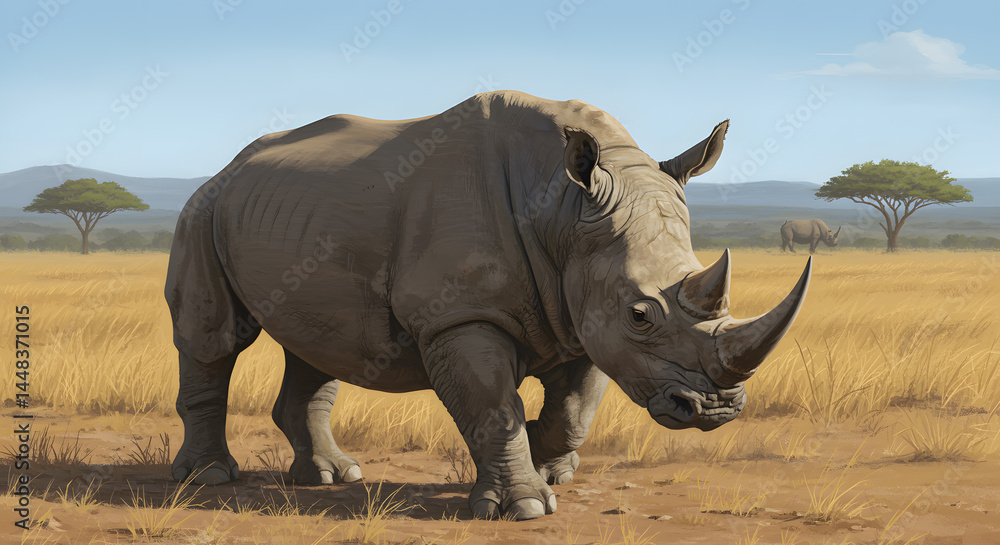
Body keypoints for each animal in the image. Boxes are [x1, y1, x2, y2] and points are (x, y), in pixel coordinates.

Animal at [165, 91, 811, 521]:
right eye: (641, 314)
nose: (716, 407)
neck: (563, 208)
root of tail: (231, 166)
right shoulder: (460, 315)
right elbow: (493, 406)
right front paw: (524, 507)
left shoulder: (583, 309)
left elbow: (575, 409)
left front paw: (549, 464)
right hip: (203, 208)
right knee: (214, 339)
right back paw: (209, 479)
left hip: (291, 216)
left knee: (317, 342)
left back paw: (329, 477)